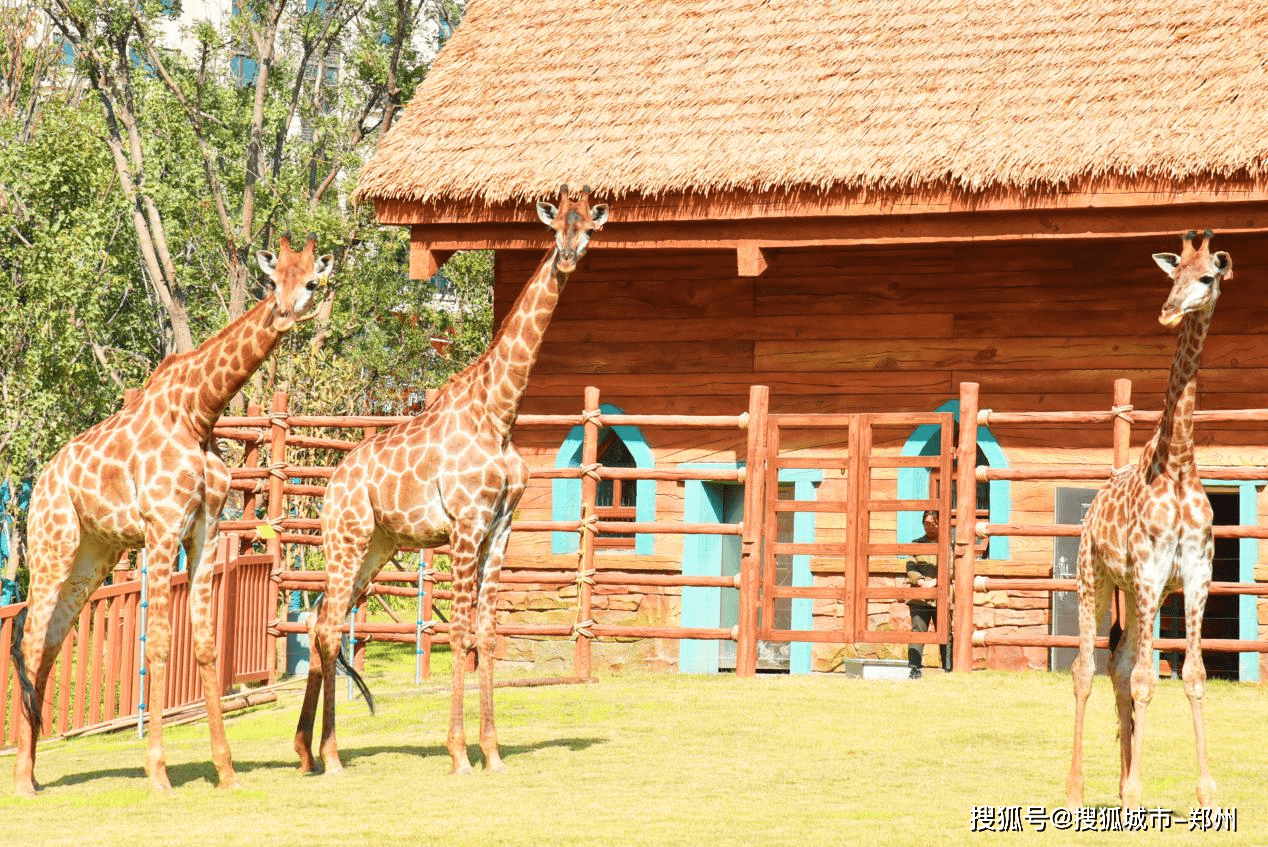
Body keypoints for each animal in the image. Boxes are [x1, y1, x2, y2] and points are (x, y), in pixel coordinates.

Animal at [12, 233, 334, 796]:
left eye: (312, 281)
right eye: (273, 278)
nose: (284, 313)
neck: (200, 411)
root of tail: (44, 480)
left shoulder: (205, 530)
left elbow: (205, 645)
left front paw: (226, 770)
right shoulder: (162, 528)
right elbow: (159, 643)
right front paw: (158, 772)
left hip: (92, 558)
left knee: (49, 644)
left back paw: (32, 770)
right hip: (54, 544)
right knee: (30, 643)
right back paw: (22, 781)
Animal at [292, 183, 608, 775]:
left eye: (589, 228)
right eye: (556, 225)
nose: (567, 256)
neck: (500, 413)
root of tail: (331, 484)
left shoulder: (501, 527)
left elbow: (487, 630)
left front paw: (493, 752)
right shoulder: (466, 523)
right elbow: (459, 631)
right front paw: (460, 753)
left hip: (377, 546)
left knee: (322, 617)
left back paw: (306, 752)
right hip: (346, 538)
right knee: (328, 624)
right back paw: (332, 756)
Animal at [1065, 228, 1232, 811]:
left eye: (1206, 277)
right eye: (1173, 273)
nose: (1167, 311)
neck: (1178, 464)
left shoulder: (1194, 577)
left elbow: (1192, 675)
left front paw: (1206, 791)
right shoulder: (1148, 571)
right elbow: (1145, 680)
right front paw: (1136, 790)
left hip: (1141, 595)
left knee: (1117, 667)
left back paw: (1118, 785)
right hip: (1093, 579)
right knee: (1086, 669)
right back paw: (1078, 789)